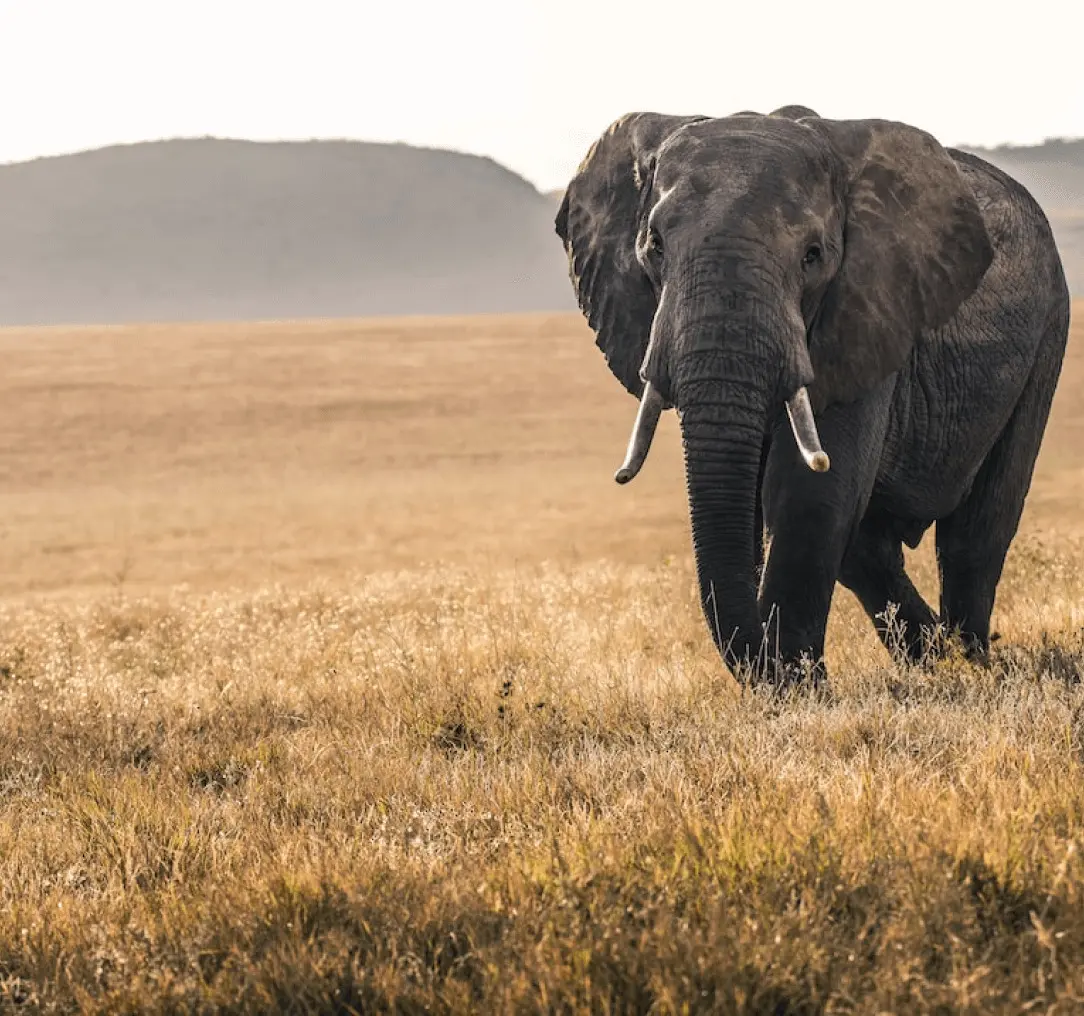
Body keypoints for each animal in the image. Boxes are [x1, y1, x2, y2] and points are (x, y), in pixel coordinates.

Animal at [555, 106, 1070, 684]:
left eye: (813, 255)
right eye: (654, 247)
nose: (771, 664)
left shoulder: (865, 310)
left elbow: (809, 493)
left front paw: (799, 688)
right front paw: (793, 681)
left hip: (1049, 328)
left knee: (976, 532)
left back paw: (970, 663)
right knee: (869, 549)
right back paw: (932, 660)